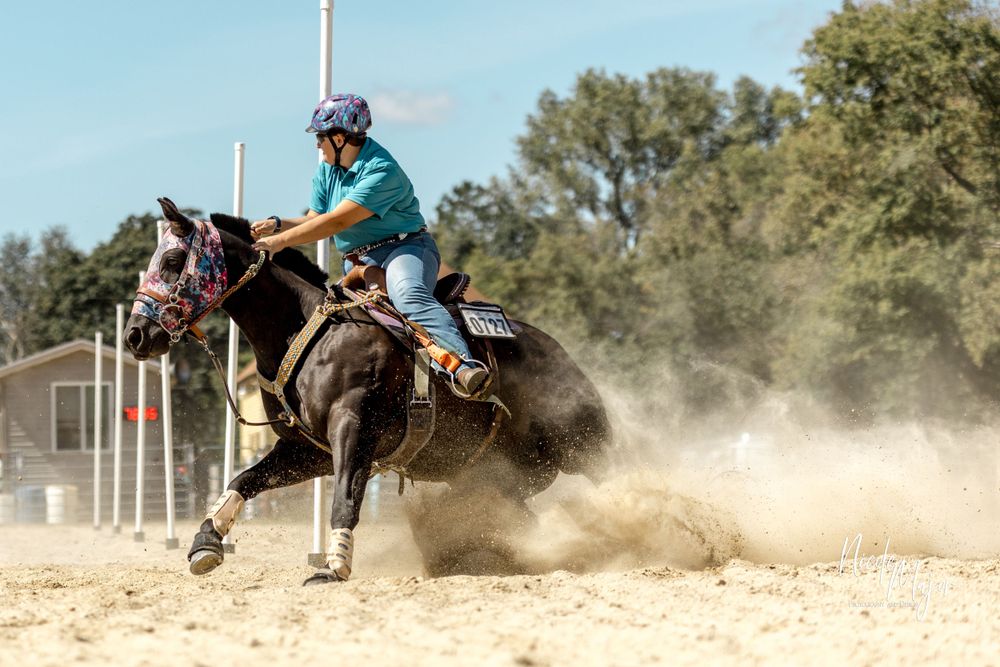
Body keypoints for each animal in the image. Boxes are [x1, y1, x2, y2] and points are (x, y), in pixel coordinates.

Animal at [125, 197, 610, 585]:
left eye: (172, 261)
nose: (134, 335)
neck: (305, 329)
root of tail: (558, 350)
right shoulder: (308, 449)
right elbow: (243, 479)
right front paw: (206, 541)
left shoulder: (353, 428)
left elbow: (345, 499)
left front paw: (333, 566)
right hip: (500, 472)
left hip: (581, 443)